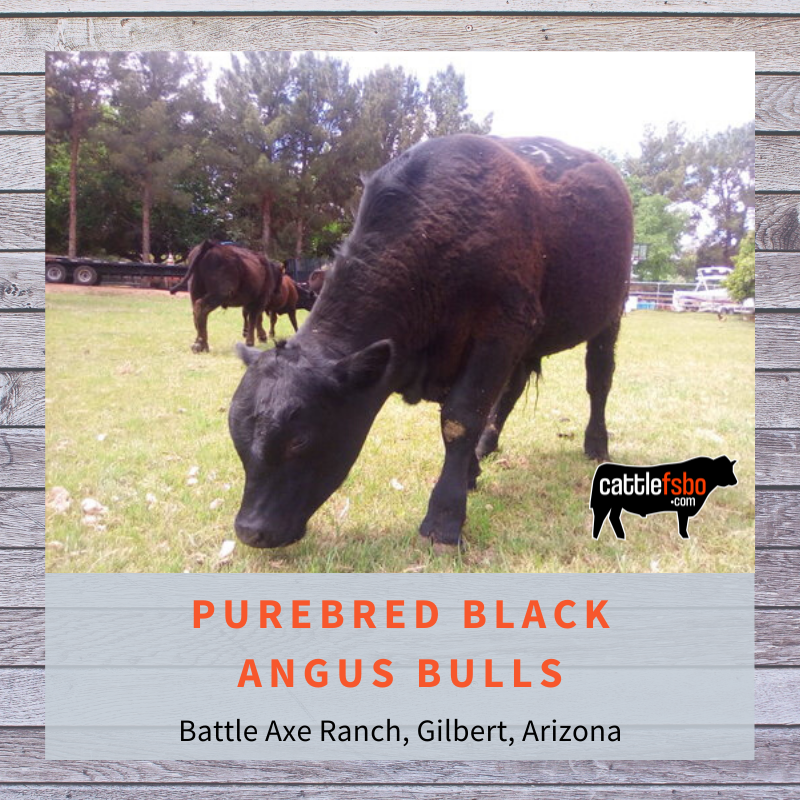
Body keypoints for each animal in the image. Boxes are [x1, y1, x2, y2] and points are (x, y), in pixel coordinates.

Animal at [228, 134, 634, 549]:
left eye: (299, 441)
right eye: (237, 436)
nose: (249, 530)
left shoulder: (501, 329)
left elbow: (460, 418)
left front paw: (444, 517)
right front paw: (470, 470)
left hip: (609, 313)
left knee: (599, 380)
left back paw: (596, 443)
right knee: (511, 391)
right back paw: (489, 445)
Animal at [590, 456, 738, 540]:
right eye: (725, 469)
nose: (735, 481)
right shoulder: (683, 508)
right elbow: (683, 524)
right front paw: (685, 536)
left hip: (616, 505)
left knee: (613, 517)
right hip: (604, 504)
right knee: (600, 518)